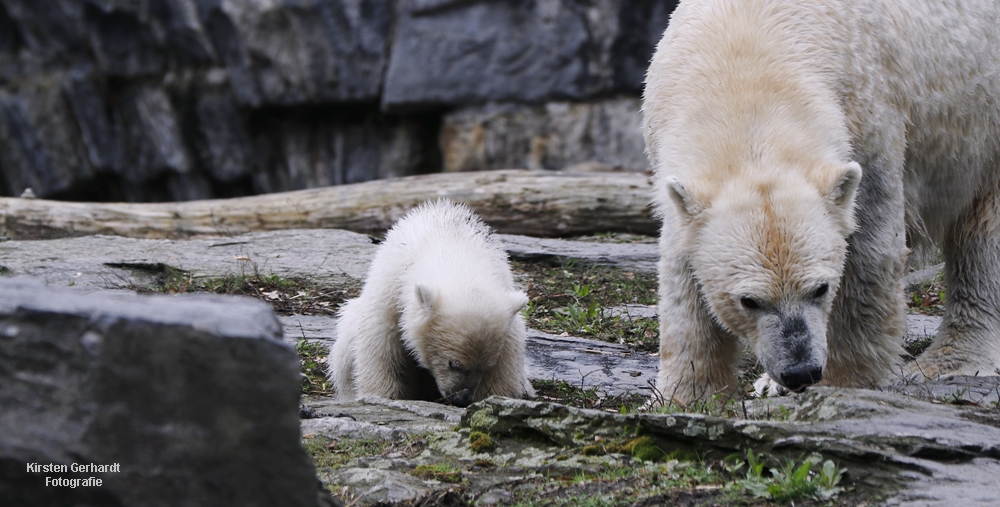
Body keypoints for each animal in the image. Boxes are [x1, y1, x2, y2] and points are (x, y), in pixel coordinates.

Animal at [640, 0, 1000, 404]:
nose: (800, 372)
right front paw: (686, 394)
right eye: (749, 300)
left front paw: (846, 383)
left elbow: (867, 252)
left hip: (984, 128)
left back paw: (952, 360)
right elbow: (681, 270)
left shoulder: (868, 124)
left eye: (821, 288)